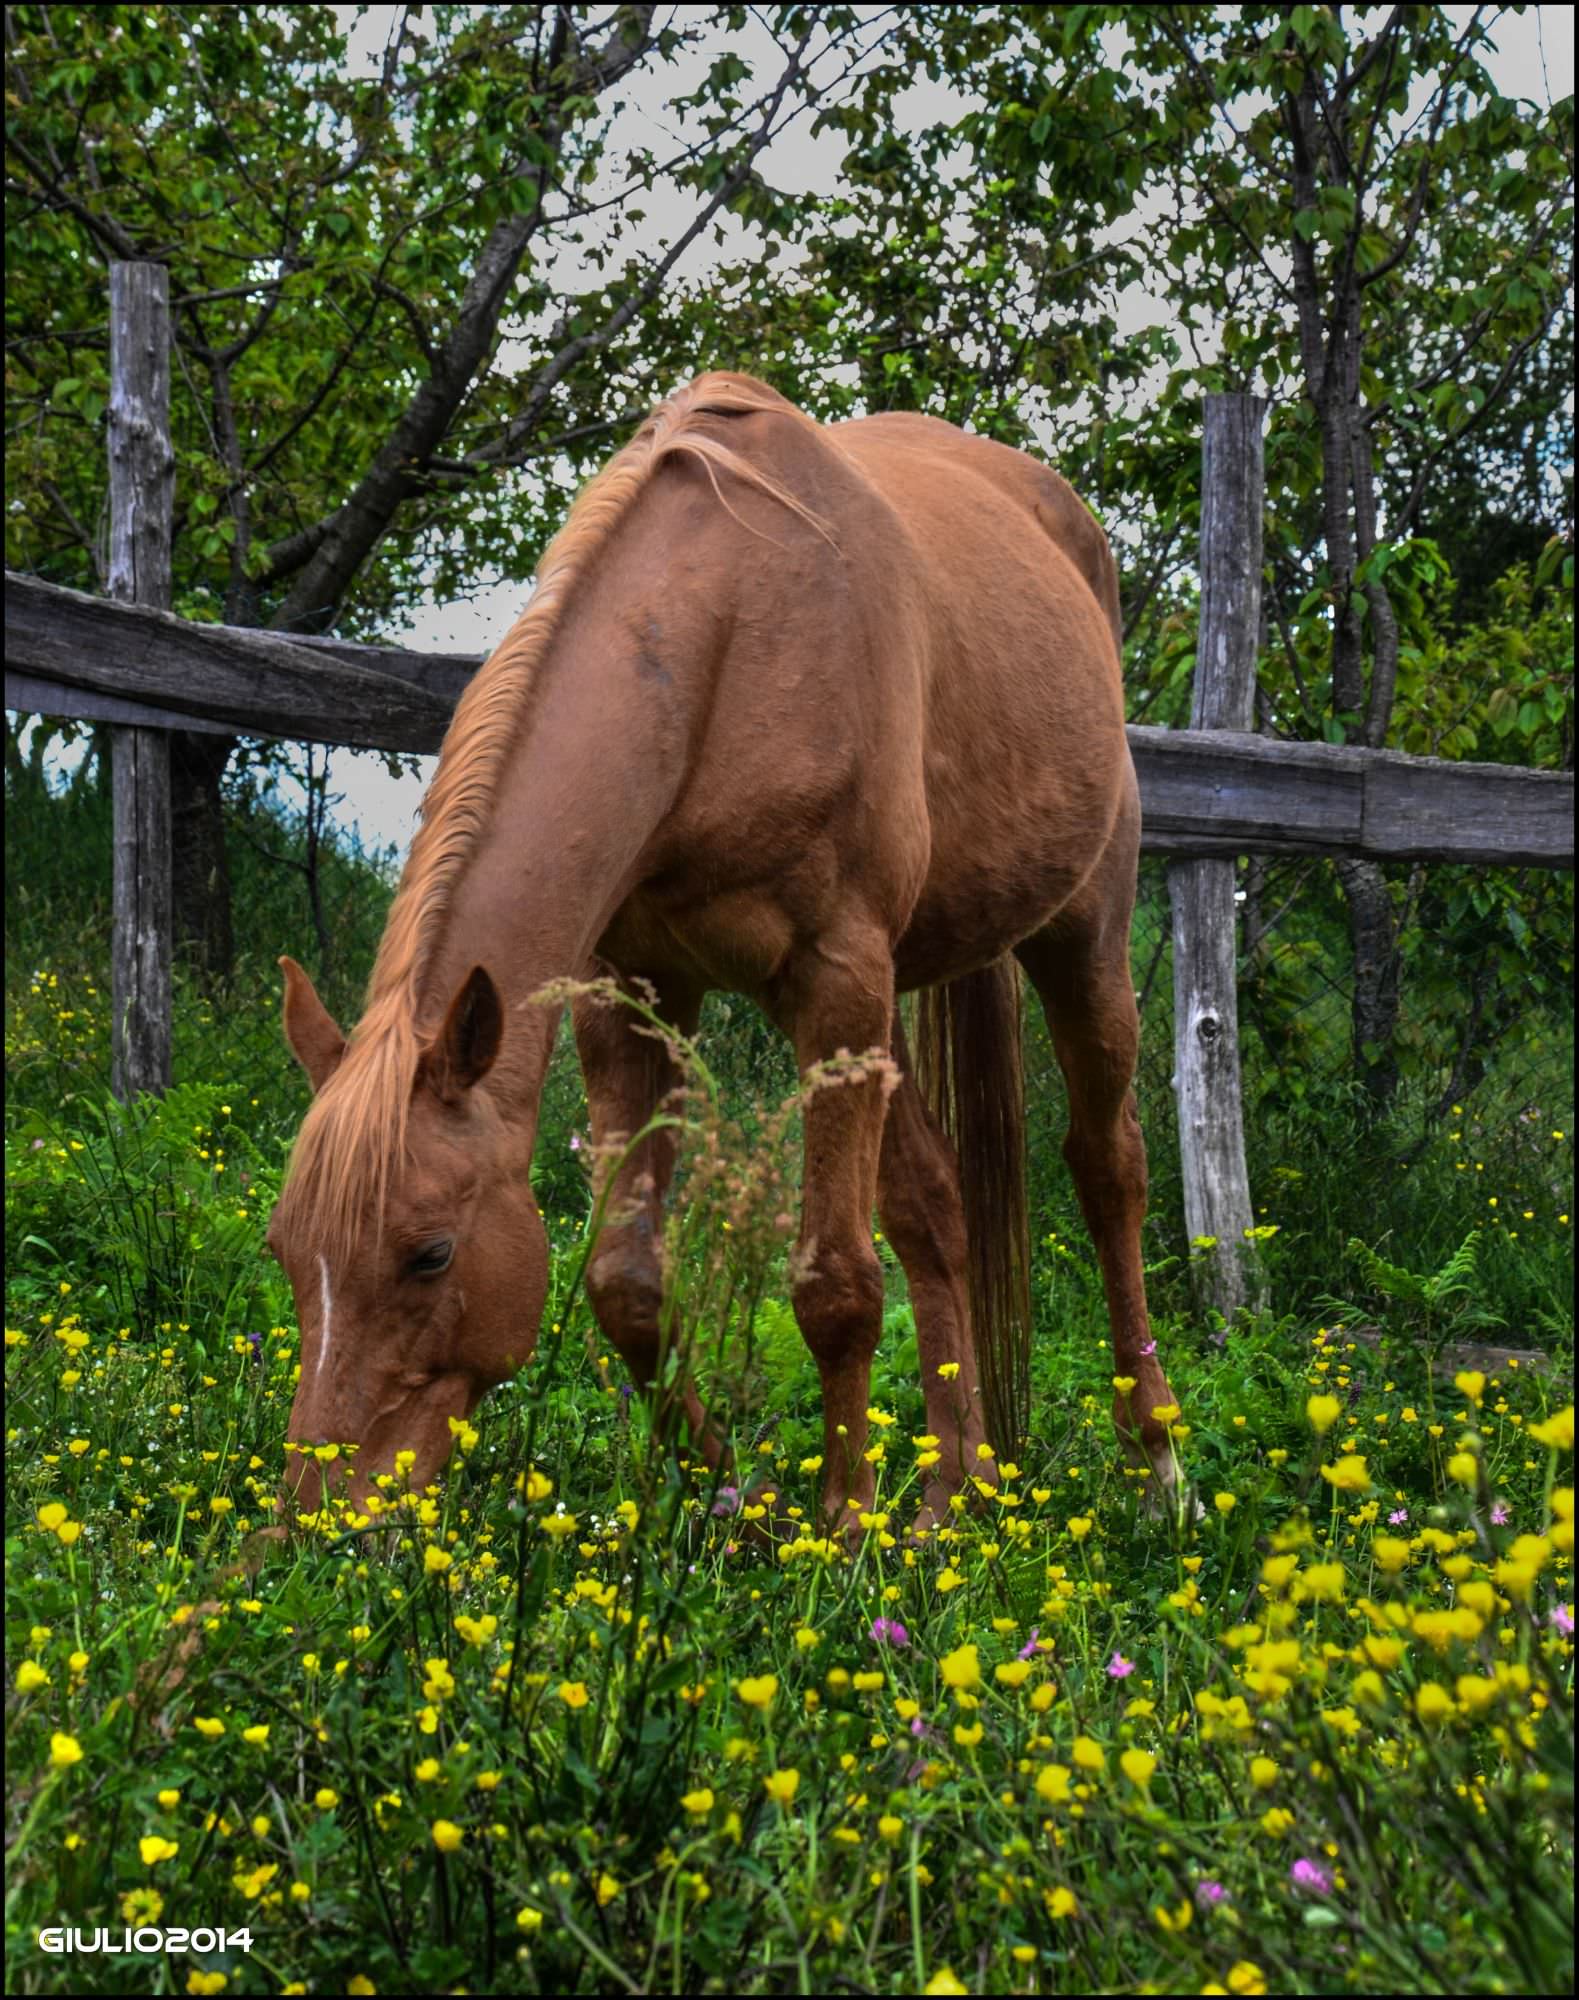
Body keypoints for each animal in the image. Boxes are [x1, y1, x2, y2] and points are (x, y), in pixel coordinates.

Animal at [271, 376, 1183, 1520]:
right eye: (286, 1249)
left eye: (430, 1254)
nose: (314, 1519)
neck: (723, 652)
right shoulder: (630, 991)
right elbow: (627, 1283)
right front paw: (742, 1503)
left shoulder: (833, 977)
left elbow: (835, 1281)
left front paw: (839, 1525)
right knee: (935, 1203)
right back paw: (956, 1490)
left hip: (1077, 938)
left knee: (1109, 1169)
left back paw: (1155, 1461)